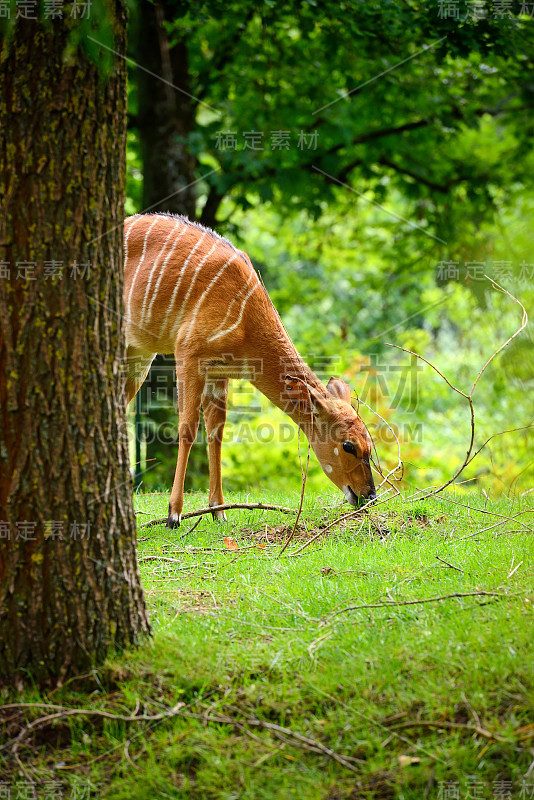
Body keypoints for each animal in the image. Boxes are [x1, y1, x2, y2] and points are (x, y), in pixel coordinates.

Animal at [125, 212, 376, 528]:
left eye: (369, 443)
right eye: (348, 445)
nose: (369, 495)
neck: (246, 323)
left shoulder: (217, 370)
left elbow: (216, 431)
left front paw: (218, 512)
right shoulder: (188, 354)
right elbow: (187, 428)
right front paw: (174, 514)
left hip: (139, 352)